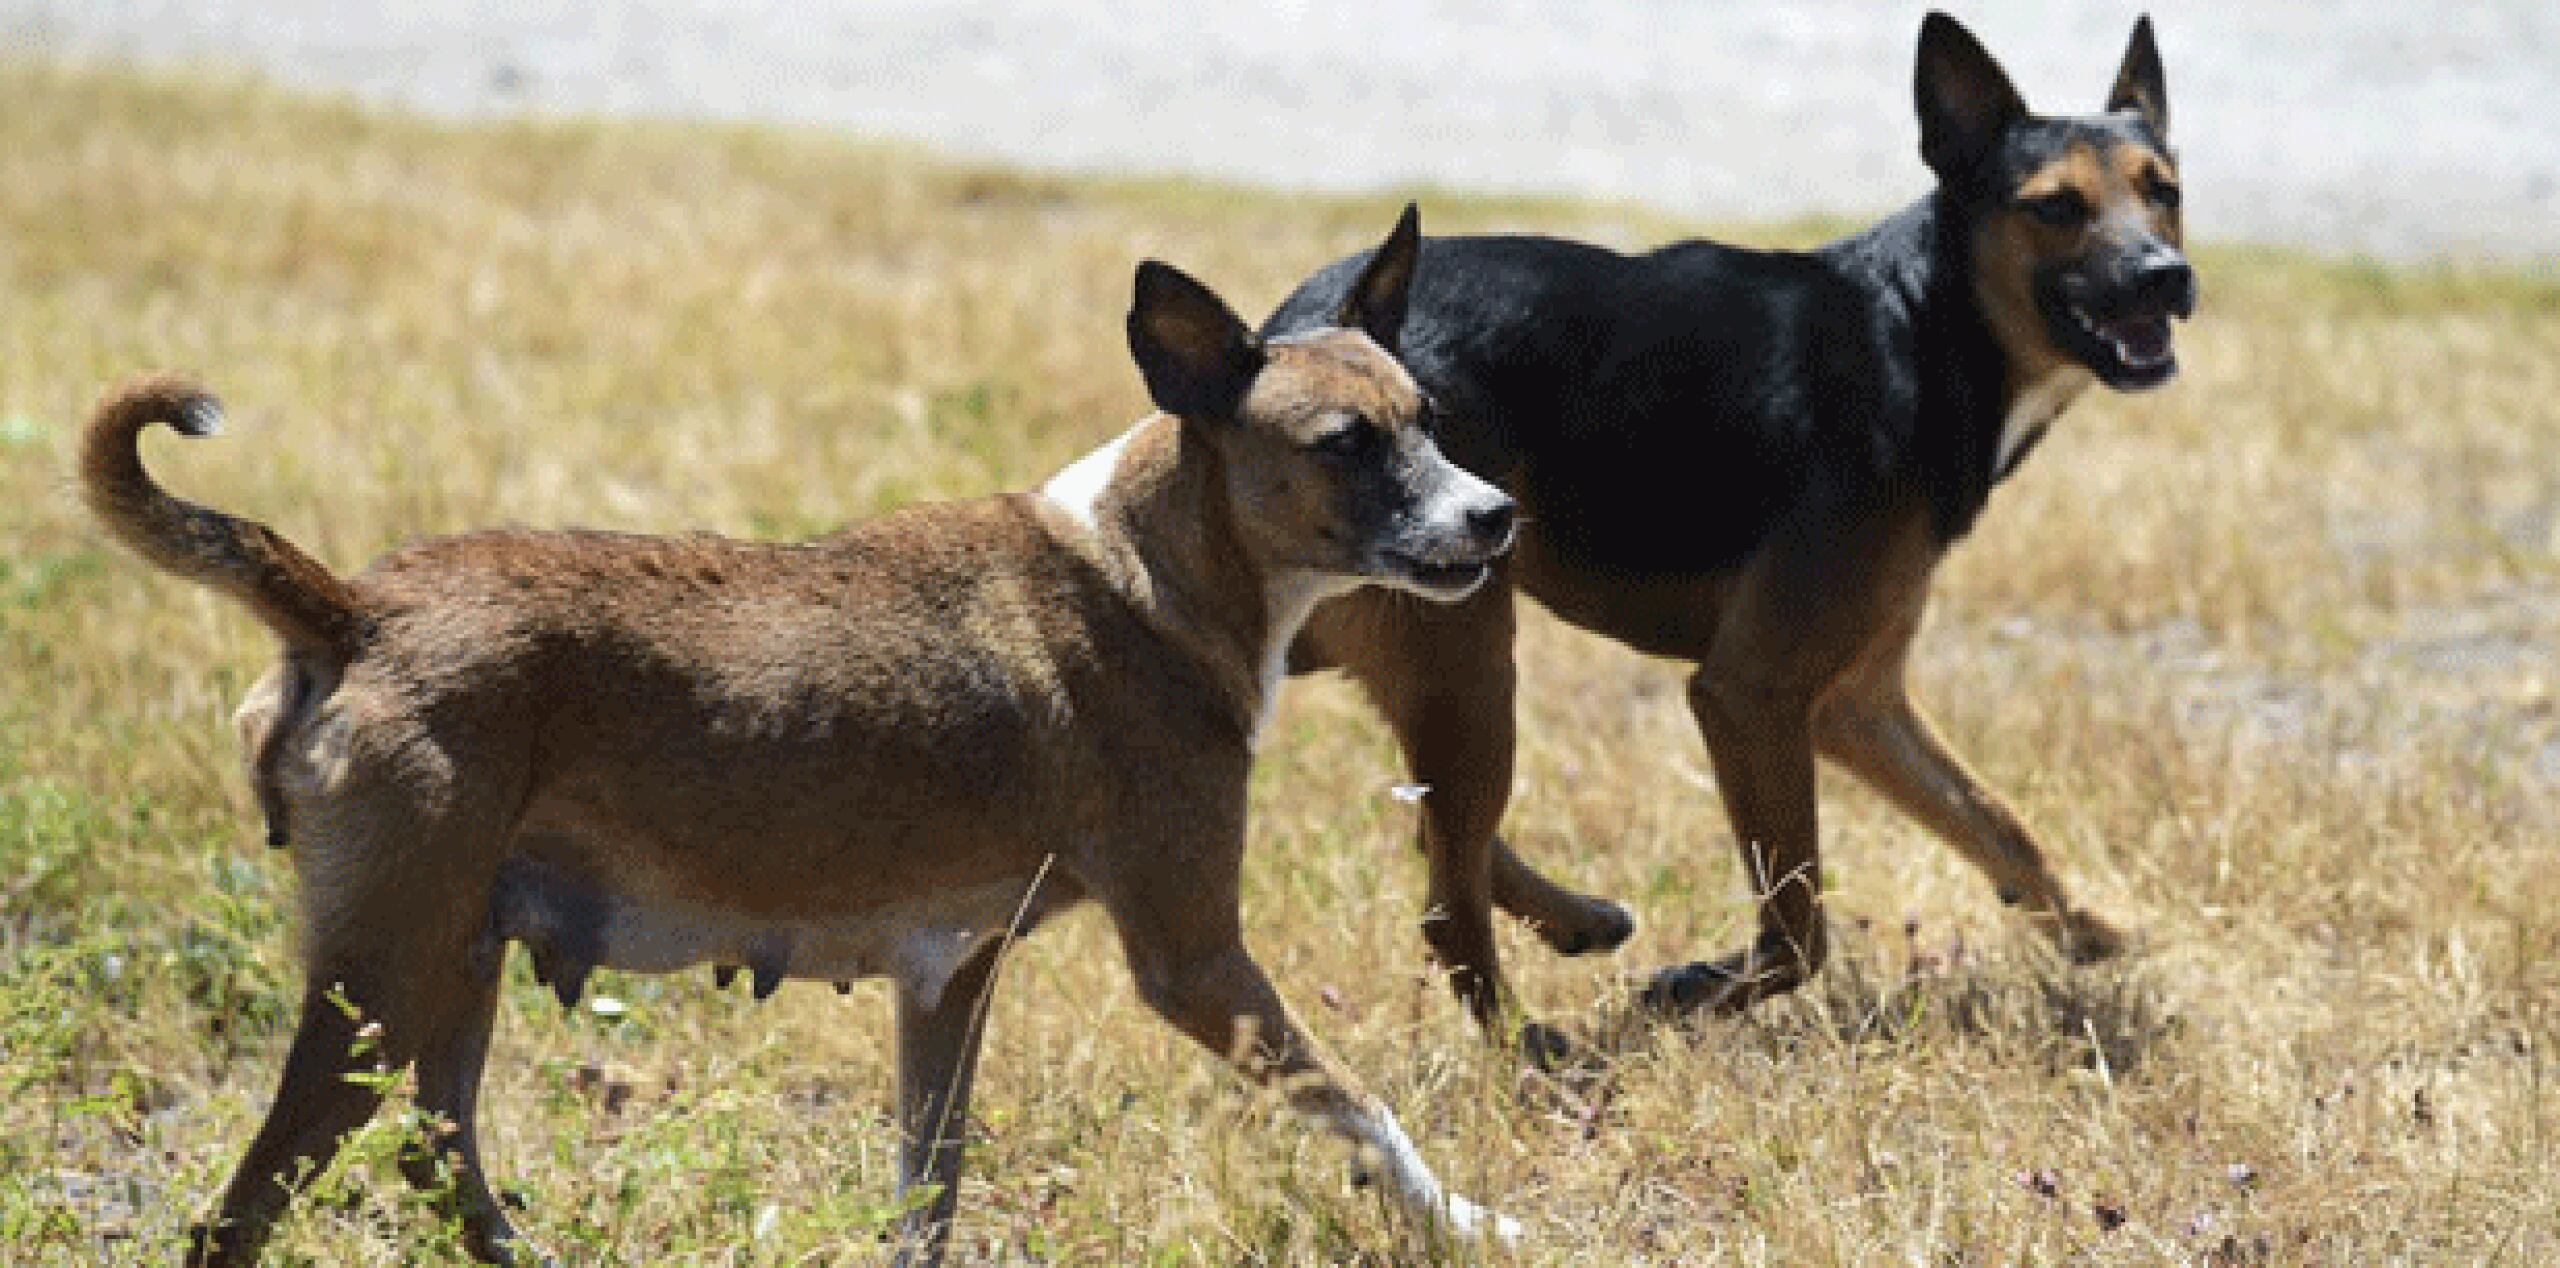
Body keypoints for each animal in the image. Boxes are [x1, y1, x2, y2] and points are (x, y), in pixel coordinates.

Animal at [90, 208, 1525, 1260]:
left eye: (1431, 423)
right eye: (1346, 443)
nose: (1497, 517)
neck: (1144, 569)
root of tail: (353, 607)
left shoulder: (948, 985)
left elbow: (927, 1194)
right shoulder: (1198, 962)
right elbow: (1363, 1112)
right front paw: (1475, 1218)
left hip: (455, 957)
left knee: (437, 1155)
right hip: (378, 986)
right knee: (243, 1211)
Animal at [1269, 12, 2191, 1040]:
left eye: (2165, 191)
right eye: (2057, 206)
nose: (2168, 277)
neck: (1921, 327)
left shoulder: (1856, 701)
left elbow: (1999, 824)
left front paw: (2095, 930)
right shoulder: (1754, 694)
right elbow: (1799, 929)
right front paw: (1694, 991)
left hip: (1434, 657)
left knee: (1440, 839)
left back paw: (1575, 921)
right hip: (1466, 653)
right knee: (1445, 895)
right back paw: (1536, 1047)